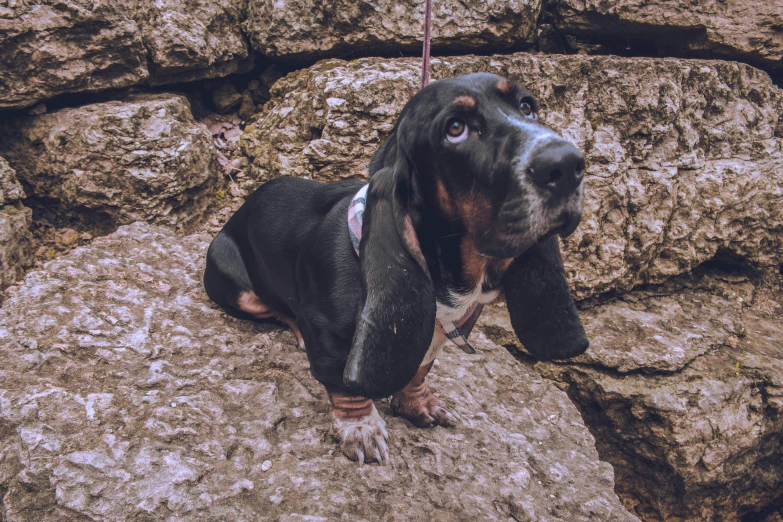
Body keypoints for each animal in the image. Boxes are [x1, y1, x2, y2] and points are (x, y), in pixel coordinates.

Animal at [202, 72, 588, 464]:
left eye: (527, 106)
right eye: (455, 128)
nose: (568, 164)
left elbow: (419, 368)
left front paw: (418, 404)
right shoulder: (329, 335)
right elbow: (345, 386)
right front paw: (361, 428)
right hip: (235, 283)